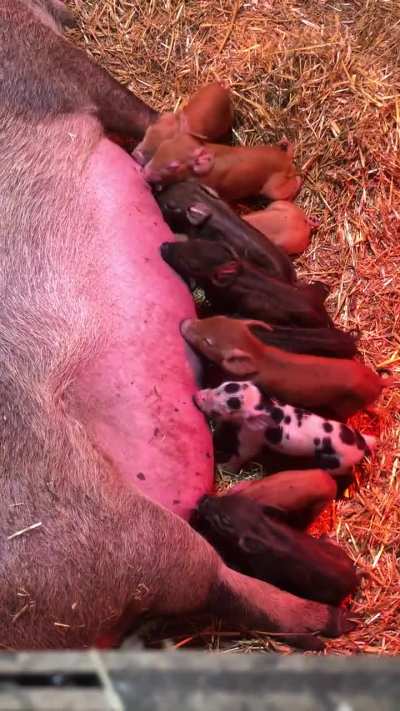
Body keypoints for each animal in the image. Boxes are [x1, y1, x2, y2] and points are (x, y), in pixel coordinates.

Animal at [144, 133, 302, 202]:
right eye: (163, 145)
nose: (144, 172)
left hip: (274, 184)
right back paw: (284, 142)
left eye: (173, 166)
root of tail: (286, 160)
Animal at [181, 316, 388, 419]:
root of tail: (379, 381)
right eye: (214, 317)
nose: (183, 322)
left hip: (346, 406)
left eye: (208, 342)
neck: (259, 354)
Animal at [193, 381, 376, 475]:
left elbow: (243, 454)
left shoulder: (251, 438)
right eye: (220, 385)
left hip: (338, 465)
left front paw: (222, 468)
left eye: (218, 411)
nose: (196, 395)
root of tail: (360, 444)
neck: (264, 406)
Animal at [193, 493, 359, 606]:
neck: (262, 530)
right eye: (229, 496)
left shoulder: (263, 572)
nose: (204, 498)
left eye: (224, 520)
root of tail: (354, 577)